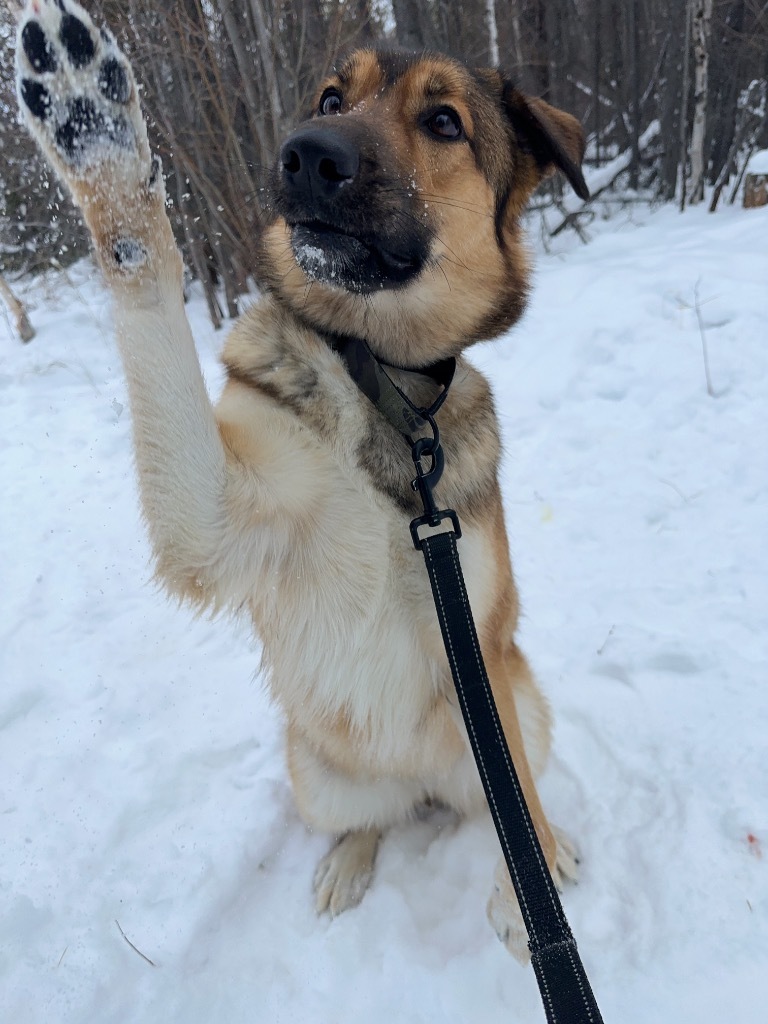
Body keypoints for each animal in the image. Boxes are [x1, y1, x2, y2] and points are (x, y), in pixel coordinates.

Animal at [16, 0, 589, 962]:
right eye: (331, 96)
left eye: (444, 122)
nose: (306, 154)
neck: (381, 384)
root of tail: (414, 784)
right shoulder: (214, 520)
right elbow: (144, 274)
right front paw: (93, 132)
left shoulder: (483, 647)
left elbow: (514, 788)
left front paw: (531, 879)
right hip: (318, 769)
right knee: (368, 819)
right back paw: (348, 863)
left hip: (520, 703)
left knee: (499, 796)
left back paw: (543, 846)